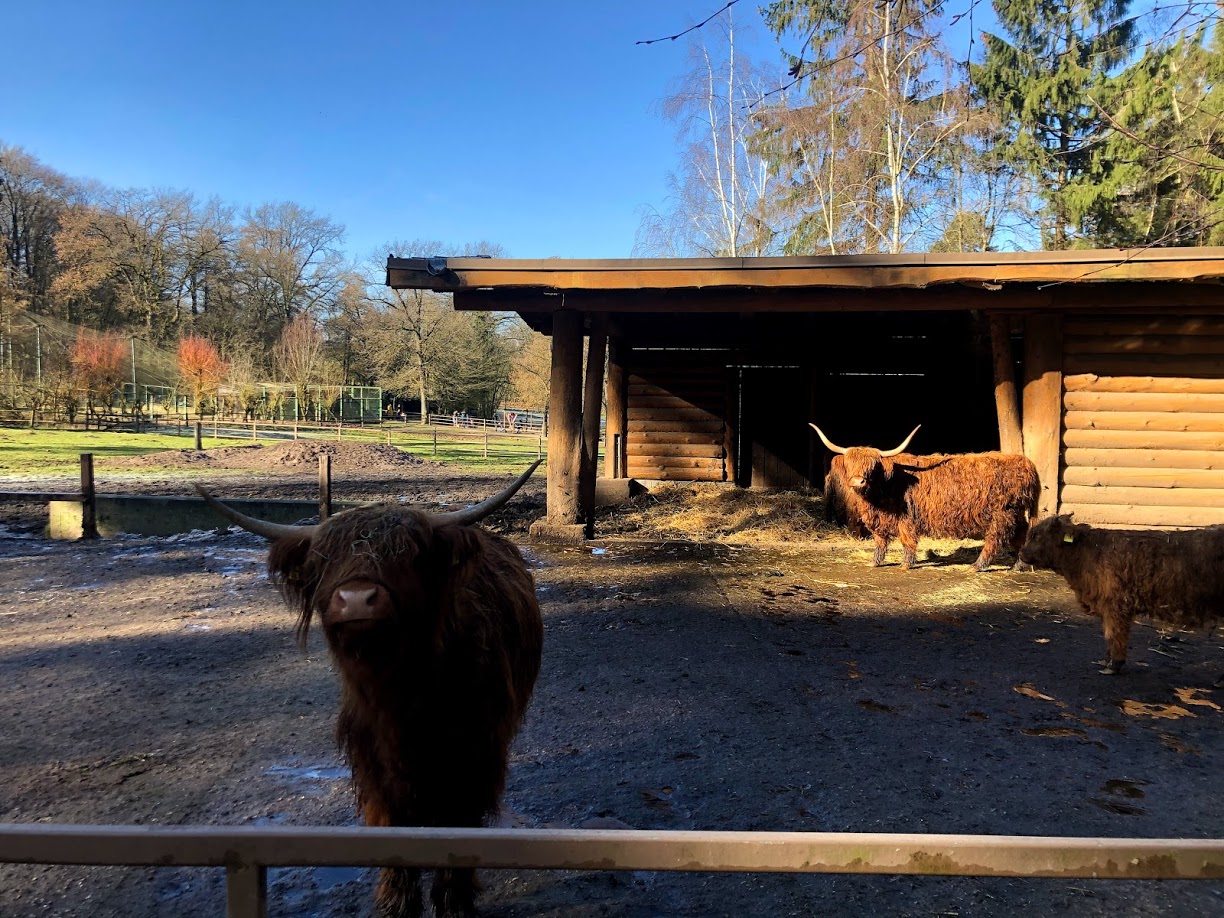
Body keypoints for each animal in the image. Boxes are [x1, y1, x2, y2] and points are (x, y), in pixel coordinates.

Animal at [197, 462, 544, 918]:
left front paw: (454, 903)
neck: (401, 696)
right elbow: (390, 826)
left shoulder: (473, 756)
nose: (357, 598)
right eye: (324, 561)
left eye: (407, 555)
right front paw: (397, 902)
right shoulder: (371, 760)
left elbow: (459, 829)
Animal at [810, 424, 1040, 572]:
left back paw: (976, 566)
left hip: (1002, 514)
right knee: (1020, 537)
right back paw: (1019, 566)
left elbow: (907, 539)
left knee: (995, 539)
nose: (858, 481)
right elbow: (880, 540)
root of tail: (1027, 464)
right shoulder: (880, 520)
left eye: (872, 466)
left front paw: (905, 564)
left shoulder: (906, 518)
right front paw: (875, 562)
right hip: (1015, 513)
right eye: (851, 463)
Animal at [1018, 514, 1224, 676]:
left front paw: (1114, 665)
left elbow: (1114, 633)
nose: (1020, 553)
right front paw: (1106, 660)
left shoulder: (1116, 604)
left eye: (1036, 536)